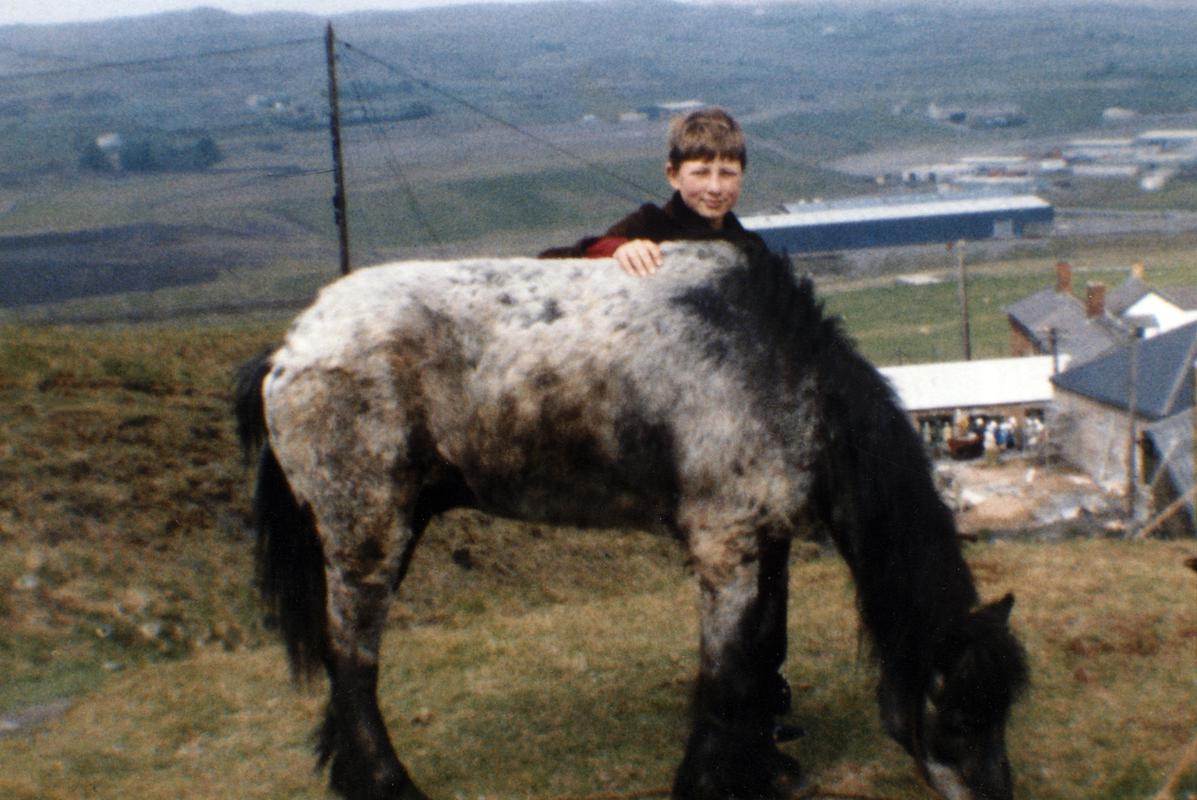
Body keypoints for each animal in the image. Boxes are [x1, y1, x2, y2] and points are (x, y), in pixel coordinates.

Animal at [234, 241, 1028, 800]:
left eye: (1002, 709)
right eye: (956, 709)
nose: (996, 796)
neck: (780, 368)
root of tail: (290, 347)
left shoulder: (761, 541)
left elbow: (757, 656)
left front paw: (759, 767)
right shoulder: (723, 546)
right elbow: (725, 670)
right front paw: (710, 780)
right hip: (367, 534)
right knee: (353, 661)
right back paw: (386, 784)